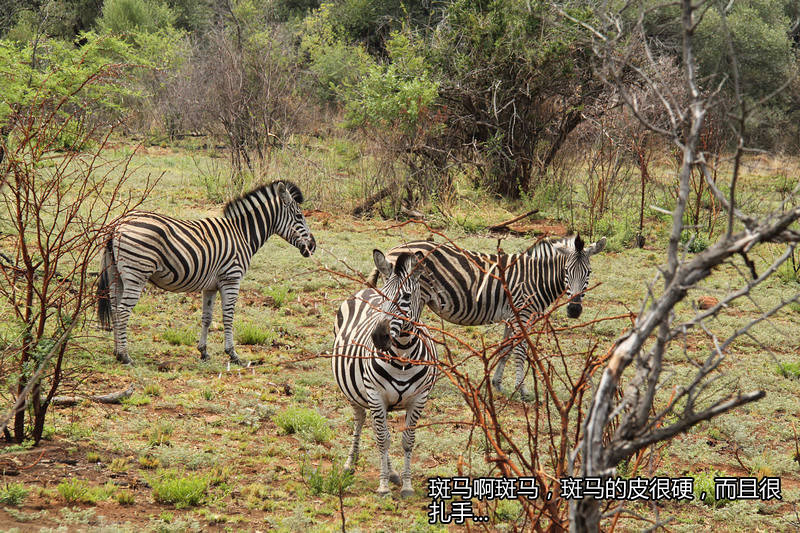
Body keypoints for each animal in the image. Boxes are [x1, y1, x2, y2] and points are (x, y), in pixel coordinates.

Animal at [97, 181, 316, 364]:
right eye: (299, 216)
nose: (312, 246)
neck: (242, 234)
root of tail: (118, 224)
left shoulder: (210, 286)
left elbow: (207, 317)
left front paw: (203, 351)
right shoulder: (231, 278)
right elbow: (228, 316)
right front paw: (233, 354)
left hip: (117, 274)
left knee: (115, 309)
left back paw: (117, 352)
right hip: (137, 273)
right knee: (123, 310)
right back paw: (125, 356)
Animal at [332, 249, 438, 498]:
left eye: (406, 297)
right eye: (384, 296)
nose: (379, 337)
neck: (402, 356)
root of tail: (366, 289)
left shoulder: (418, 399)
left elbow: (407, 440)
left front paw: (407, 485)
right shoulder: (376, 395)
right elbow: (383, 440)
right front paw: (383, 487)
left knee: (375, 426)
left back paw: (393, 473)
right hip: (357, 394)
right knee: (362, 421)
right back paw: (351, 464)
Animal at [368, 235, 608, 396]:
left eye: (589, 273)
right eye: (566, 272)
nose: (574, 310)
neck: (536, 278)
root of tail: (394, 248)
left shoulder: (512, 315)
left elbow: (505, 349)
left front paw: (497, 383)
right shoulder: (523, 313)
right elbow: (520, 351)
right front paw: (521, 389)